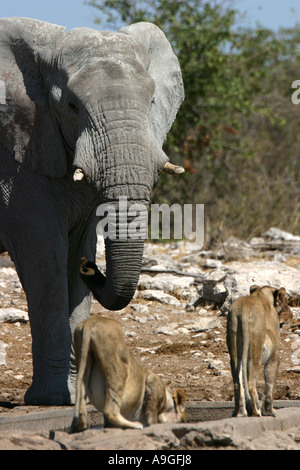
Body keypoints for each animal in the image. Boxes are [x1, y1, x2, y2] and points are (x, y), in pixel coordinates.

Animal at [0, 15, 184, 404]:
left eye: (152, 101)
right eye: (71, 106)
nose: (92, 268)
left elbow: (75, 247)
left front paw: (74, 396)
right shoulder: (13, 161)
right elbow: (44, 254)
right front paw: (52, 399)